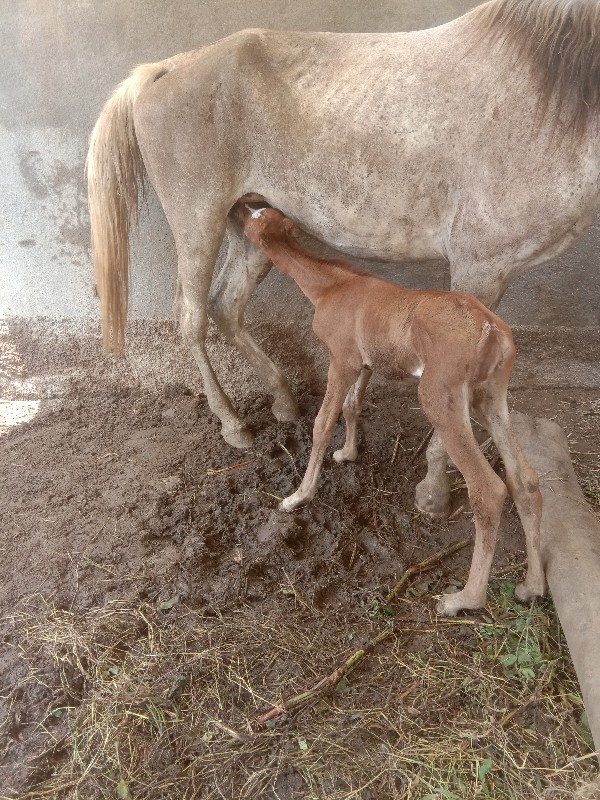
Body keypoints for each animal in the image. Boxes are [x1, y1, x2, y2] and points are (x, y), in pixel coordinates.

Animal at [86, 0, 600, 520]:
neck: (548, 90)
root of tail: (169, 67)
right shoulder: (480, 268)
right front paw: (434, 491)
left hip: (247, 225)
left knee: (226, 308)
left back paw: (285, 402)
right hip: (198, 221)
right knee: (191, 319)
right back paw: (234, 425)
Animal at [237, 203, 548, 616]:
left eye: (256, 218)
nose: (241, 211)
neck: (331, 287)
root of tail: (492, 331)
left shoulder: (342, 359)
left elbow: (323, 422)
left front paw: (298, 497)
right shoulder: (366, 363)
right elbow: (352, 406)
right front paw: (348, 453)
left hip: (440, 398)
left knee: (488, 488)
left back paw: (463, 599)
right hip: (489, 398)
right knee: (524, 479)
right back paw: (531, 586)